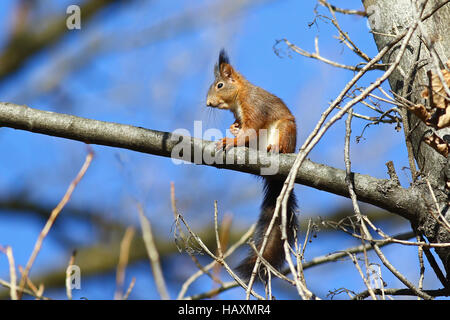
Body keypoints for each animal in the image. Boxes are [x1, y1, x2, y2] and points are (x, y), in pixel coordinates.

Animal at [206, 50, 298, 280]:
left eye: (220, 85)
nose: (208, 103)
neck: (239, 96)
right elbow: (244, 130)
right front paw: (233, 129)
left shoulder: (254, 106)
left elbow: (252, 128)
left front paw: (230, 141)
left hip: (286, 130)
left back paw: (277, 148)